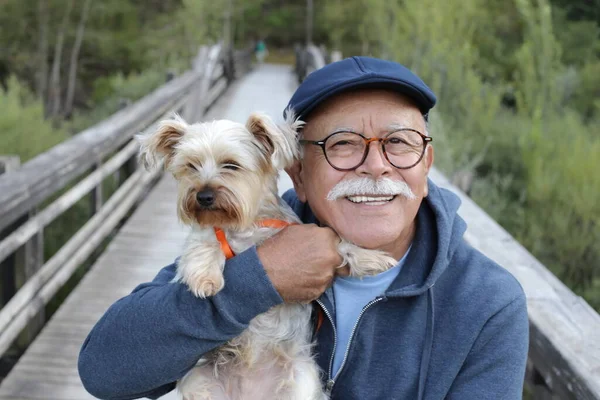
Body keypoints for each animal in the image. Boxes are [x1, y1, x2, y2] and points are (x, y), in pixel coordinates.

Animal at [138, 112, 396, 400]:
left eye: (231, 165)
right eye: (191, 166)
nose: (203, 196)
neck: (247, 223)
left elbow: (341, 243)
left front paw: (371, 258)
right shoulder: (208, 234)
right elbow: (204, 243)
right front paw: (206, 279)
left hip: (301, 380)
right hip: (201, 381)